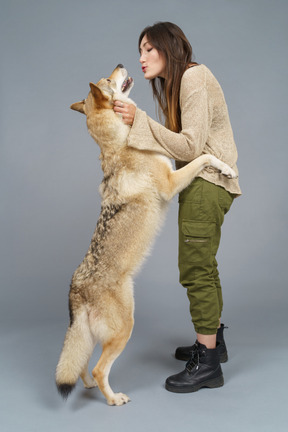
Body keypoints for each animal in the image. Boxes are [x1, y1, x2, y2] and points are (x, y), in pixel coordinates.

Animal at [55, 63, 237, 404]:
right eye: (108, 79)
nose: (120, 64)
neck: (120, 141)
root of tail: (76, 288)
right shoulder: (171, 182)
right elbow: (202, 156)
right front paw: (227, 169)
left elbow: (200, 155)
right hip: (125, 328)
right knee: (99, 368)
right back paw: (114, 398)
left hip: (91, 337)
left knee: (82, 365)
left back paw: (89, 386)